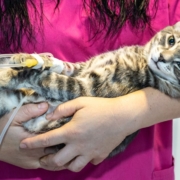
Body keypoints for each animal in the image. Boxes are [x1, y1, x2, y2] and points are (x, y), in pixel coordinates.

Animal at [0, 21, 180, 158]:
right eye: (171, 40)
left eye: (178, 65)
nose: (161, 58)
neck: (140, 58)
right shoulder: (83, 67)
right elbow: (65, 65)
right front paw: (29, 58)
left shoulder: (85, 88)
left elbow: (45, 78)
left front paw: (8, 74)